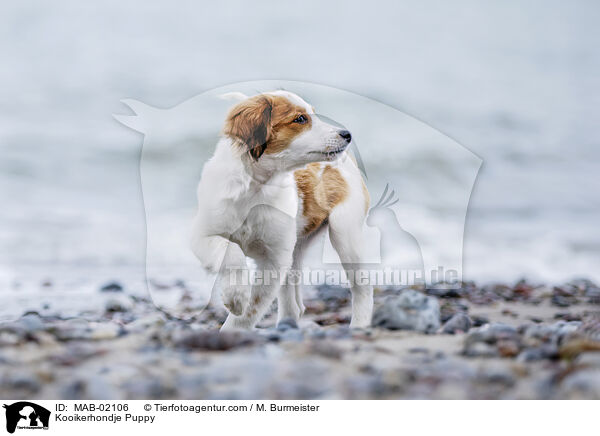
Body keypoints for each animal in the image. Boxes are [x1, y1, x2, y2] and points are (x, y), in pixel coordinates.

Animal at [190, 92, 372, 330]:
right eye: (300, 119)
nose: (347, 134)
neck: (256, 189)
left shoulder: (274, 260)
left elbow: (251, 309)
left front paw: (233, 321)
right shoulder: (202, 234)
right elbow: (231, 250)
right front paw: (236, 295)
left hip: (346, 234)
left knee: (362, 288)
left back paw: (359, 325)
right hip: (296, 248)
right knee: (294, 304)